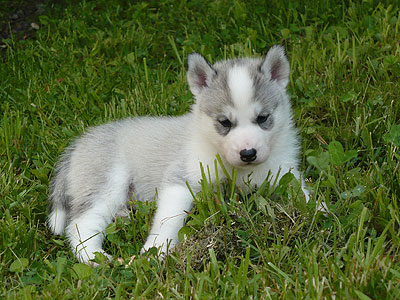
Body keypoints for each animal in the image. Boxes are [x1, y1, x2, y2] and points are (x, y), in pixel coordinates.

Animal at [47, 45, 310, 264]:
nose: (248, 153)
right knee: (80, 225)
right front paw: (156, 249)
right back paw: (96, 257)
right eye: (224, 122)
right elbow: (168, 219)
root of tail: (80, 142)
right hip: (106, 182)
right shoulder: (181, 179)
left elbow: (304, 195)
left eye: (263, 118)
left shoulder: (282, 172)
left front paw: (318, 213)